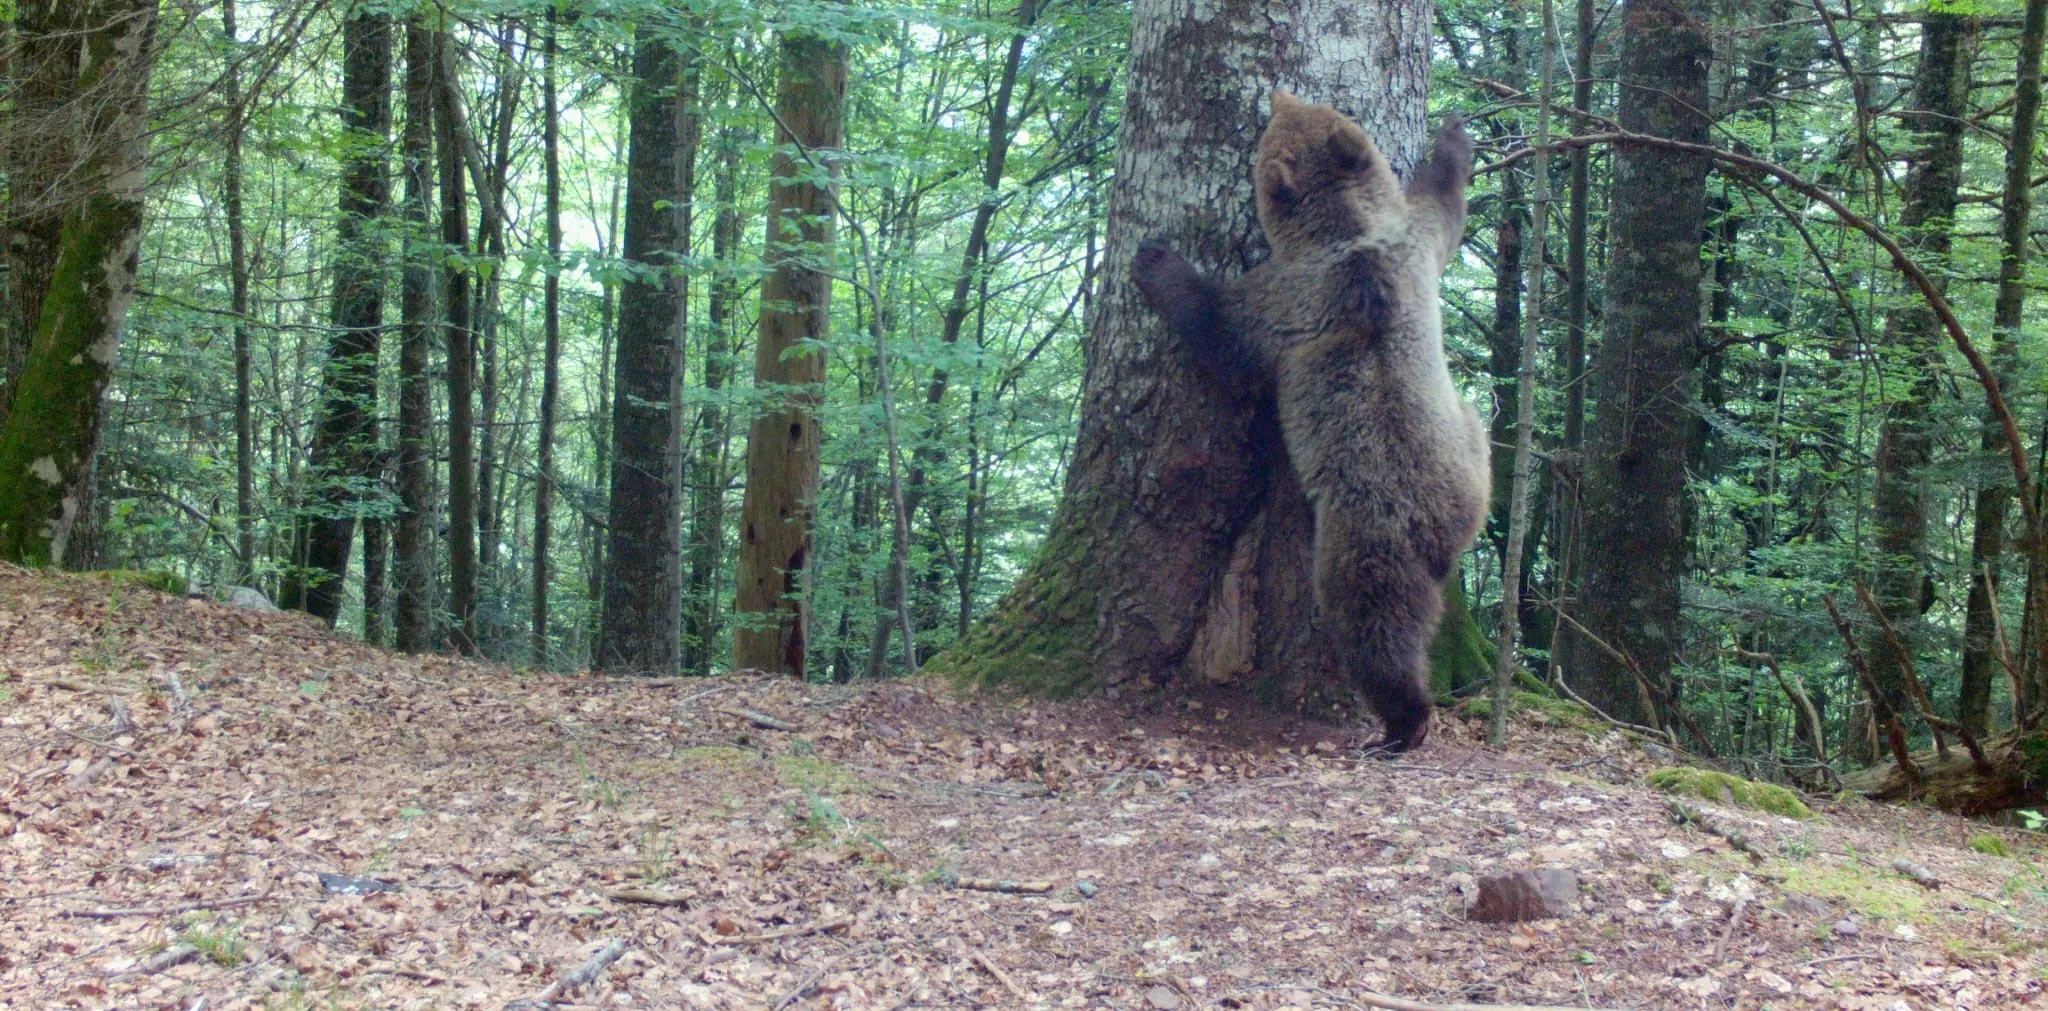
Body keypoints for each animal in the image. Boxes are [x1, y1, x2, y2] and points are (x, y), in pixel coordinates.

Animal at [1131, 91, 1488, 753]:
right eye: (1305, 108)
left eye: (1278, 123)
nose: (1278, 93)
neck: (1348, 232)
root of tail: (1442, 529)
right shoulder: (1416, 248)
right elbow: (1447, 207)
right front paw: (1454, 135)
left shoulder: (1291, 298)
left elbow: (1224, 334)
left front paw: (1157, 260)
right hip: (1469, 461)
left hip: (1366, 527)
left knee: (1375, 624)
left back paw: (1403, 721)